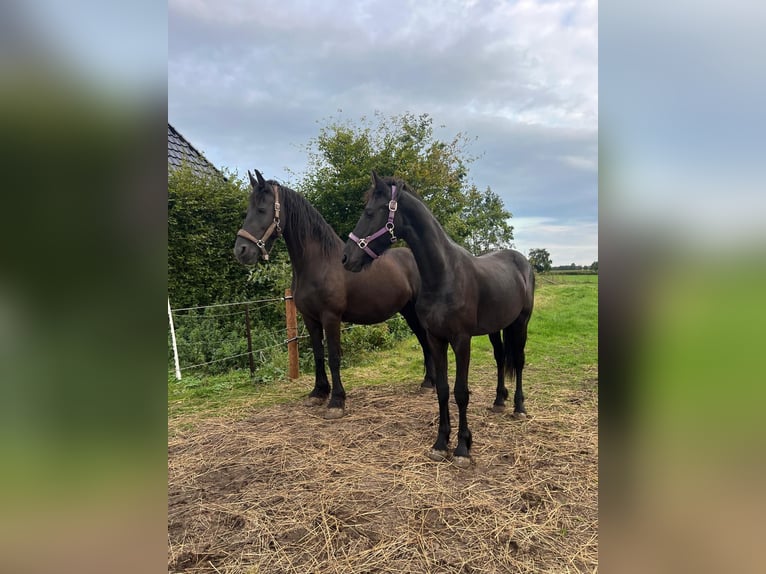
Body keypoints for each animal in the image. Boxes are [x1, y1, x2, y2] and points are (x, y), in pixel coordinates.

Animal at [234, 169, 436, 419]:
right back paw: (428, 382)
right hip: (407, 311)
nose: (241, 251)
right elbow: (319, 355)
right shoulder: (310, 318)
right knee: (423, 341)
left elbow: (333, 357)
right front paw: (318, 393)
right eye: (248, 210)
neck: (318, 262)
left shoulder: (331, 317)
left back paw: (429, 383)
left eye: (262, 209)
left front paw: (336, 402)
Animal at [342, 172, 535, 467]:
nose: (346, 257)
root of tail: (521, 261)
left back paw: (519, 407)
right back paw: (499, 401)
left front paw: (463, 448)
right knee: (501, 358)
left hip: (521, 323)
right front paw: (441, 443)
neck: (445, 275)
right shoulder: (435, 339)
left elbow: (461, 392)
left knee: (520, 362)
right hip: (496, 328)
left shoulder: (461, 341)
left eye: (369, 212)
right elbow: (443, 390)